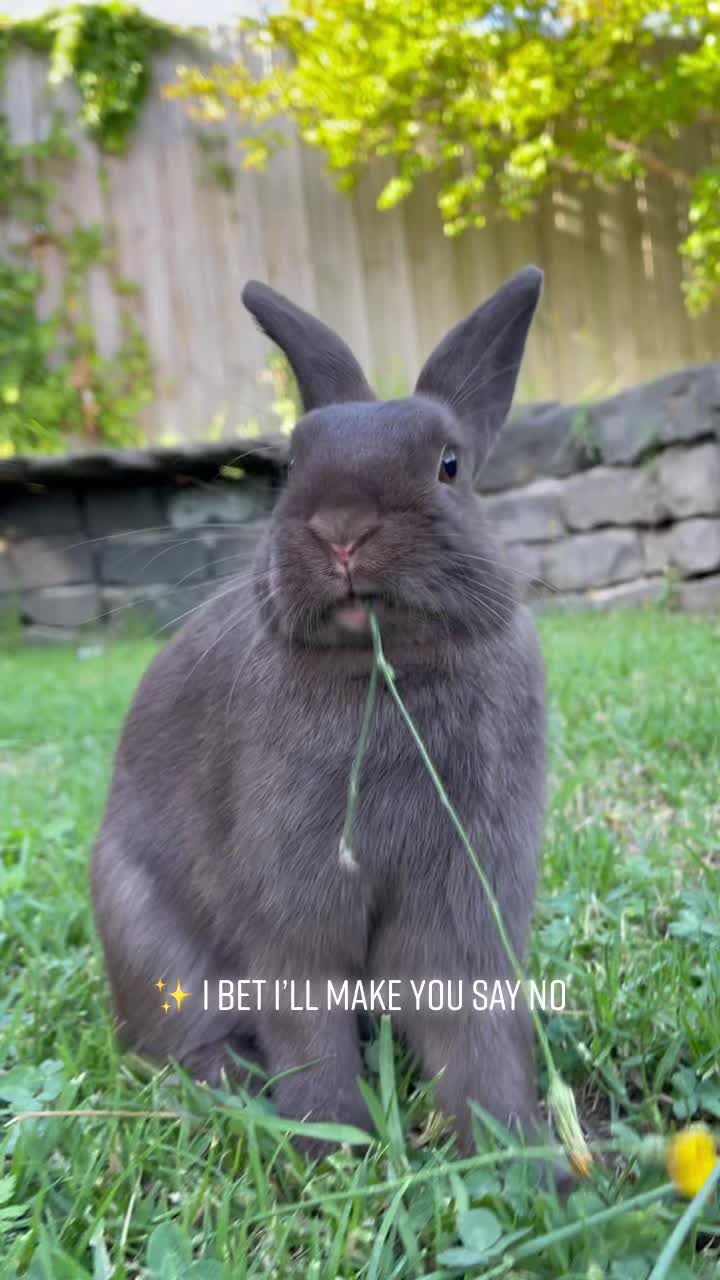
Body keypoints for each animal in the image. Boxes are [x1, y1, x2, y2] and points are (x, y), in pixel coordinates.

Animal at [92, 267, 550, 1161]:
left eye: (448, 465)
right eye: (295, 462)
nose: (342, 531)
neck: (384, 670)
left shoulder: (464, 910)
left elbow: (472, 1032)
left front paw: (525, 1158)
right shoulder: (289, 916)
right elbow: (307, 1027)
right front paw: (334, 1143)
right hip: (149, 939)